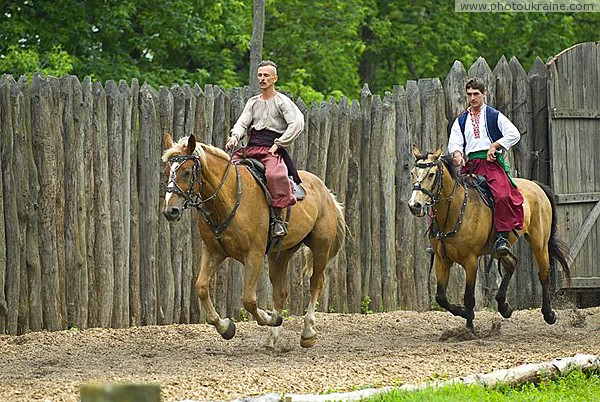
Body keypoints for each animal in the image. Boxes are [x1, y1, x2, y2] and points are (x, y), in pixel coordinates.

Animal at [162, 133, 344, 348]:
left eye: (187, 172)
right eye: (167, 171)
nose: (170, 211)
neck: (229, 196)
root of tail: (326, 191)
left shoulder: (254, 255)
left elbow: (249, 300)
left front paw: (267, 317)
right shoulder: (213, 251)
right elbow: (201, 287)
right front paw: (226, 327)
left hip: (321, 247)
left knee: (316, 282)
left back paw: (307, 332)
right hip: (279, 255)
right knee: (280, 292)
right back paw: (272, 339)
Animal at [406, 144, 568, 330]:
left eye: (431, 174)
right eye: (412, 172)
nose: (414, 205)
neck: (455, 211)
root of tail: (536, 185)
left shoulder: (470, 260)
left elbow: (469, 297)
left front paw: (469, 326)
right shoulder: (442, 259)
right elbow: (441, 297)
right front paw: (464, 313)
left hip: (539, 242)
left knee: (544, 274)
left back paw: (549, 314)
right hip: (496, 250)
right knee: (512, 263)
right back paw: (504, 307)